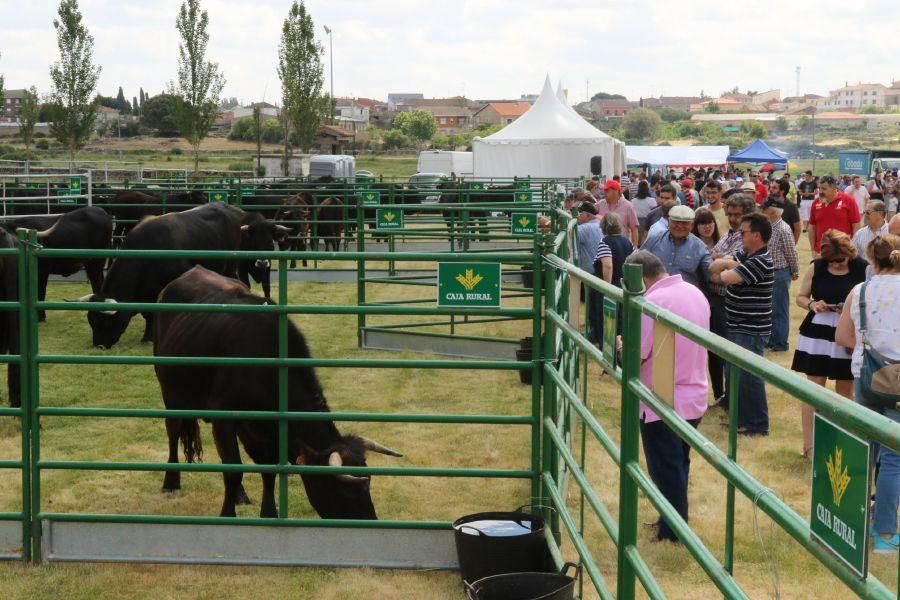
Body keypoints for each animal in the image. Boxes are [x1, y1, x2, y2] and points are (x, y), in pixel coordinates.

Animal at [71, 204, 286, 350]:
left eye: (105, 322)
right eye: (91, 321)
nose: (98, 346)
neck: (149, 249)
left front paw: (148, 337)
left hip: (231, 266)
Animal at [156, 264, 404, 516]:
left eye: (369, 481)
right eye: (344, 490)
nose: (370, 519)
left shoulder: (266, 429)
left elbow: (267, 470)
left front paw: (269, 513)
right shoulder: (223, 419)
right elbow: (233, 470)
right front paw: (227, 514)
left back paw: (240, 495)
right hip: (171, 395)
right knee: (173, 431)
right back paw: (171, 482)